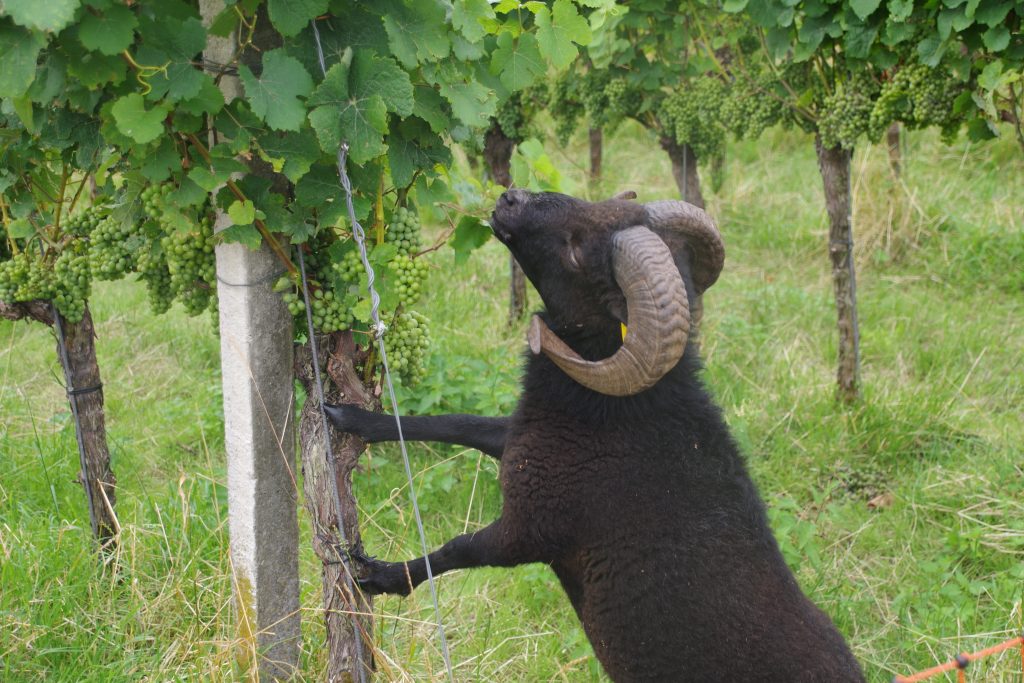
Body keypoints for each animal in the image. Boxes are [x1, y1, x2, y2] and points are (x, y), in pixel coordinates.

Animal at [327, 189, 864, 682]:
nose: (510, 197)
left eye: (577, 251)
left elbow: (459, 548)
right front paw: (349, 416)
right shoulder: (523, 441)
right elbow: (453, 423)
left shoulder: (532, 528)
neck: (622, 416)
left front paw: (376, 575)